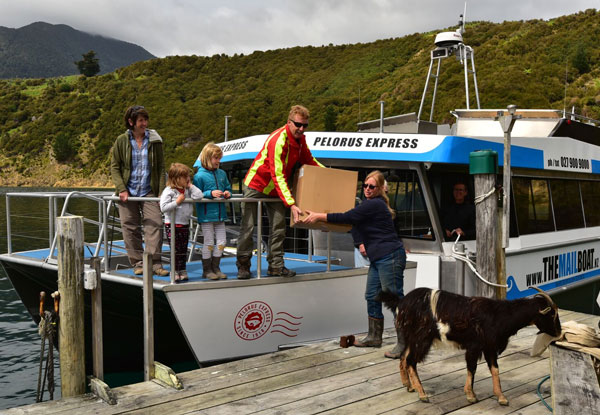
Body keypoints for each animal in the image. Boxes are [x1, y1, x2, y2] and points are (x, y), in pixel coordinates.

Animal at [380, 286, 564, 406]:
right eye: (552, 314)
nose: (559, 331)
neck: (499, 315)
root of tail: (402, 302)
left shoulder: (489, 347)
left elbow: (495, 369)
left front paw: (501, 397)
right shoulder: (474, 346)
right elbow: (472, 368)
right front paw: (470, 395)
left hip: (412, 338)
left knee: (403, 358)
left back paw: (409, 386)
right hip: (421, 338)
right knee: (411, 360)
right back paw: (422, 394)